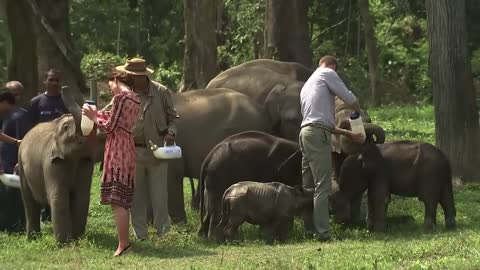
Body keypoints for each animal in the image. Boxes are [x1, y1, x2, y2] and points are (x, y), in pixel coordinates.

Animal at [330, 139, 458, 232]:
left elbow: (380, 197)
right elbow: (371, 197)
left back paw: (427, 229)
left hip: (429, 175)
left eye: (348, 176)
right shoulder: (375, 177)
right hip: (443, 178)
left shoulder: (381, 172)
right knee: (445, 198)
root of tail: (445, 160)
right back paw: (450, 226)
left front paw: (379, 231)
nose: (339, 221)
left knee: (429, 199)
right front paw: (370, 229)